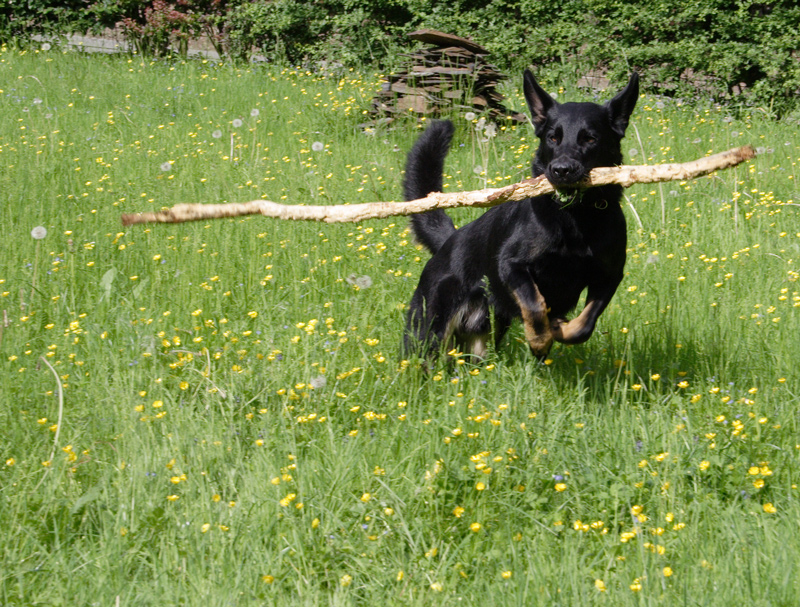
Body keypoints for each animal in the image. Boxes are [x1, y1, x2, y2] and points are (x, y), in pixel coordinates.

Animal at [404, 69, 640, 358]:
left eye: (590, 138)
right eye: (553, 137)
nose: (561, 170)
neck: (575, 217)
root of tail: (449, 241)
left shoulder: (609, 276)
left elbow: (584, 325)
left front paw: (560, 328)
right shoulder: (512, 265)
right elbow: (535, 304)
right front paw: (540, 338)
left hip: (480, 339)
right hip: (429, 330)